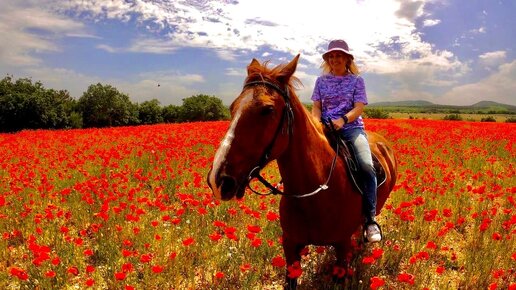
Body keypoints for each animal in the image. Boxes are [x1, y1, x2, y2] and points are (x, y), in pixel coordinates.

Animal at [208, 53, 398, 288]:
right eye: (232, 107)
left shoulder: (342, 245)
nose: (217, 180)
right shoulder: (290, 246)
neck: (316, 192)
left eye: (267, 110)